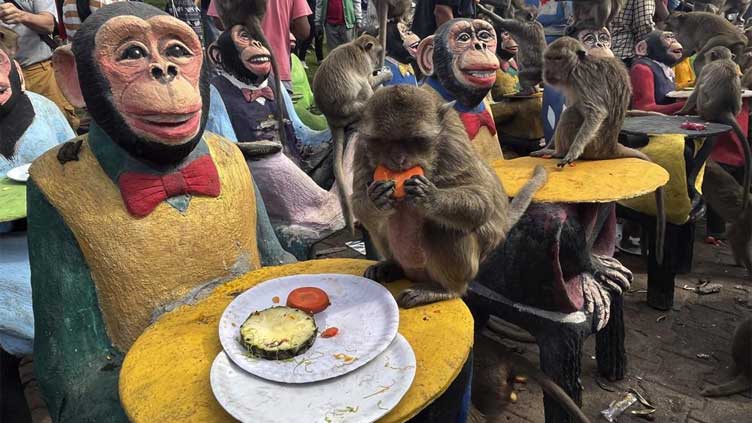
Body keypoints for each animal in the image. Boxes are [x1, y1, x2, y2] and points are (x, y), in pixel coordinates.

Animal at [312, 34, 392, 232]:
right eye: (378, 51)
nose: (378, 63)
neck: (357, 46)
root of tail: (331, 119)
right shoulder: (363, 64)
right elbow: (368, 81)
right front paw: (386, 75)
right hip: (352, 109)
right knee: (364, 87)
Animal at [353, 84, 548, 308]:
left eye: (413, 141)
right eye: (385, 141)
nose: (399, 159)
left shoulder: (453, 142)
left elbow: (482, 200)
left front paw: (430, 197)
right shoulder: (361, 146)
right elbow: (358, 198)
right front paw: (376, 199)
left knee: (440, 228)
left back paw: (446, 289)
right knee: (379, 222)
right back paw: (392, 265)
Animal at [530, 37, 666, 263]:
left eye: (557, 59)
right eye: (548, 58)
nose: (547, 71)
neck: (577, 65)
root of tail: (610, 146)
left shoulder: (582, 77)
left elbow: (595, 112)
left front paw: (571, 152)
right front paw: (547, 147)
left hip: (594, 145)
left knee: (573, 114)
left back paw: (560, 152)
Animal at [677, 46, 752, 214]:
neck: (724, 59)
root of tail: (724, 110)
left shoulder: (706, 69)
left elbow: (695, 92)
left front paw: (681, 111)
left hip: (705, 107)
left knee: (700, 90)